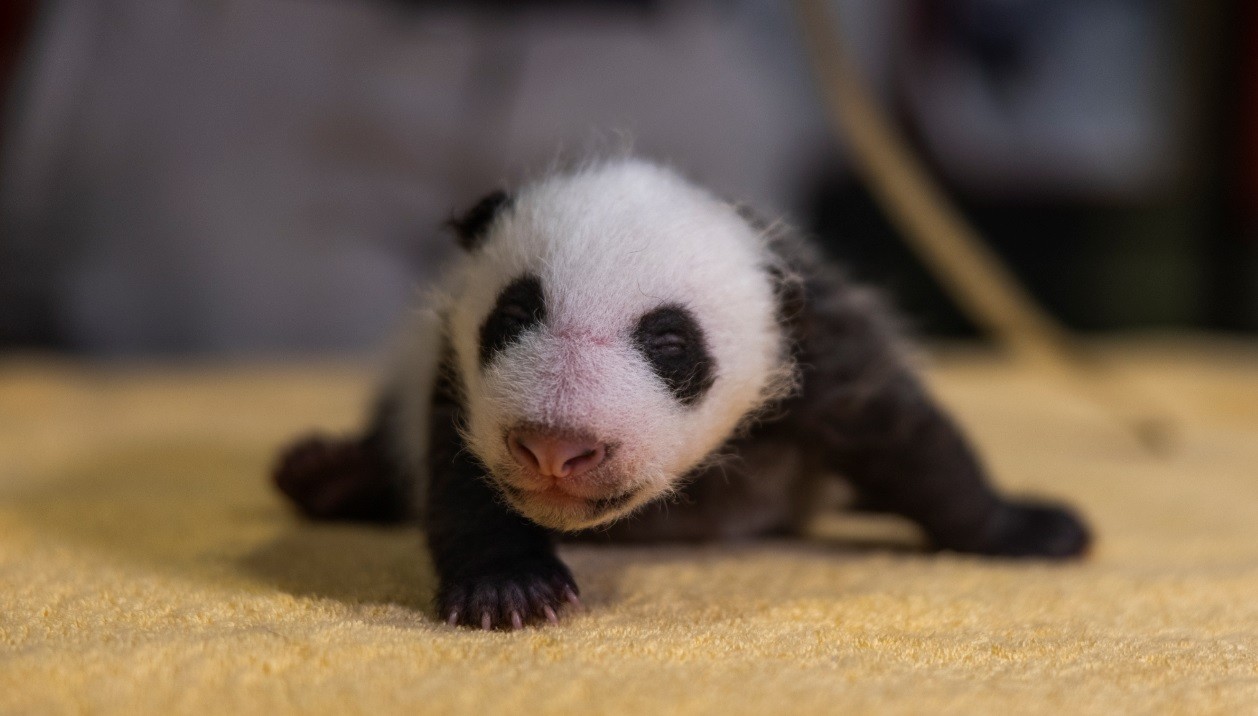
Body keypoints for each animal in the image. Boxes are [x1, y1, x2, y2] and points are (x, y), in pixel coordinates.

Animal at [273, 158, 1091, 630]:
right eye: (512, 316)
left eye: (670, 345)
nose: (555, 450)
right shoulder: (454, 369)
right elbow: (460, 469)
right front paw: (508, 587)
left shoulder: (813, 341)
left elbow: (908, 441)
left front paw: (1029, 528)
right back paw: (328, 475)